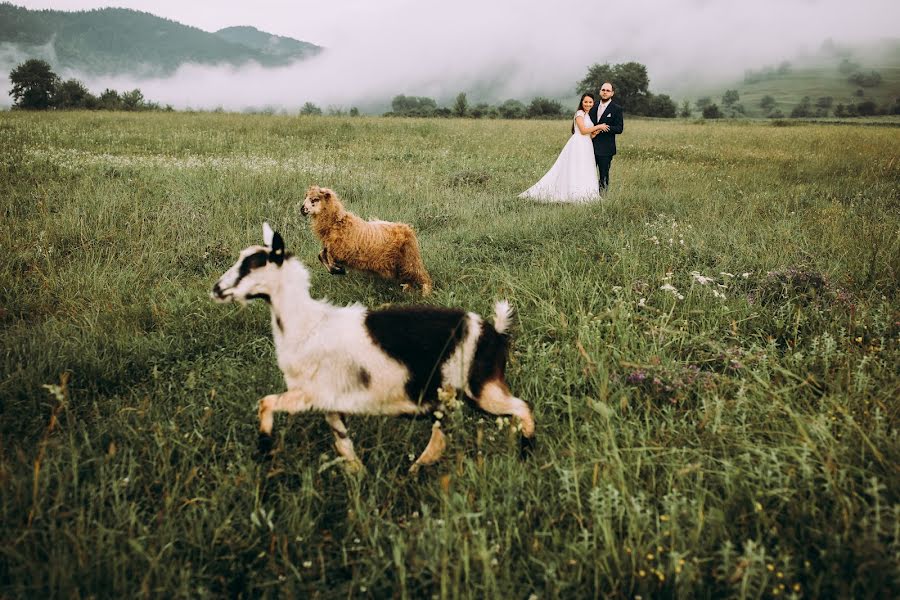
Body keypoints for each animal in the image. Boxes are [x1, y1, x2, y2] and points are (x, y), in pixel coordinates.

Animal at [211, 223, 536, 472]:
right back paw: (416, 468)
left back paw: (526, 454)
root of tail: (495, 330)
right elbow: (342, 442)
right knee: (441, 434)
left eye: (253, 264)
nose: (217, 290)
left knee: (522, 407)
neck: (308, 323)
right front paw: (358, 475)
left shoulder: (310, 394)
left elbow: (266, 403)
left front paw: (265, 450)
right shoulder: (330, 402)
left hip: (481, 387)